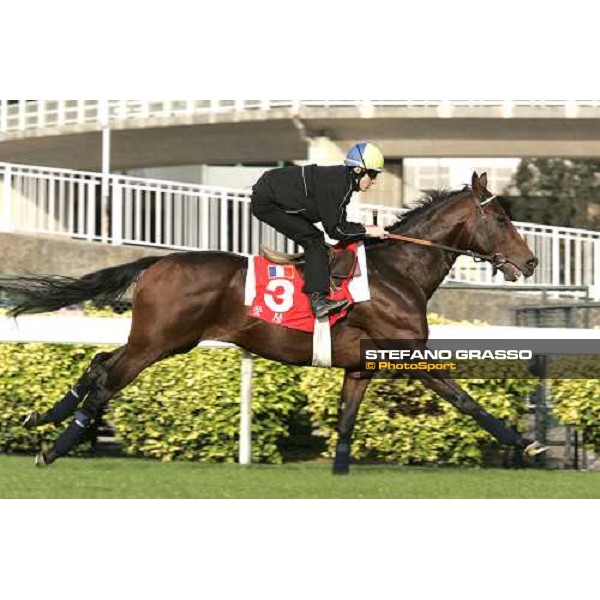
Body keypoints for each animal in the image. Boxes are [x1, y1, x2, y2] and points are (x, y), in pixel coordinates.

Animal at [1, 171, 544, 472]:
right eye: (500, 220)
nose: (532, 261)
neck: (398, 271)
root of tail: (158, 262)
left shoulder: (361, 366)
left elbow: (346, 420)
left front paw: (340, 469)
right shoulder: (407, 351)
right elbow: (466, 399)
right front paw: (525, 442)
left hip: (165, 341)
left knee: (97, 363)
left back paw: (41, 419)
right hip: (157, 342)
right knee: (106, 381)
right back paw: (53, 448)